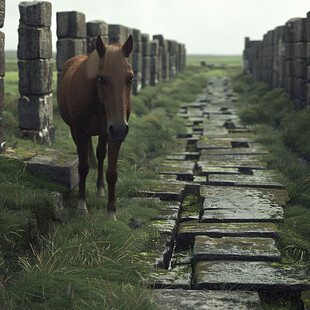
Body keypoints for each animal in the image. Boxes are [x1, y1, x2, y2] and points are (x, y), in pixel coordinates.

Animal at [58, 35, 134, 219]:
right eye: (101, 79)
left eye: (130, 78)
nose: (119, 128)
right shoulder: (80, 131)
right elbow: (83, 167)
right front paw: (81, 205)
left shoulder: (114, 134)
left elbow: (112, 172)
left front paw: (111, 212)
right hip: (77, 131)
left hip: (106, 132)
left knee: (100, 154)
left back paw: (100, 189)